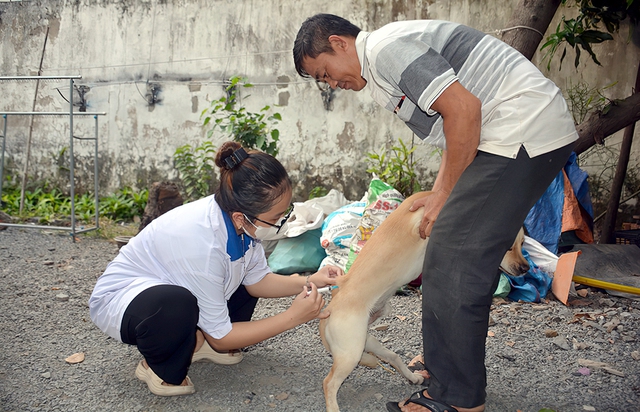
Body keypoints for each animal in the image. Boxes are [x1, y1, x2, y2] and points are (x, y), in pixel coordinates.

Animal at [320, 192, 528, 410]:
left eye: (522, 244)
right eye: (507, 247)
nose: (526, 268)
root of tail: (329, 311)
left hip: (366, 344)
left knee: (393, 357)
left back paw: (413, 377)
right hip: (351, 352)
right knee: (329, 383)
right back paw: (334, 407)